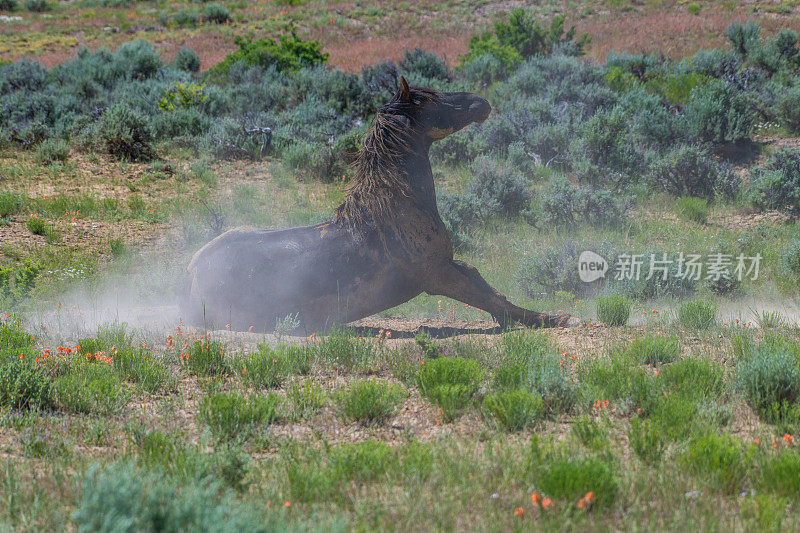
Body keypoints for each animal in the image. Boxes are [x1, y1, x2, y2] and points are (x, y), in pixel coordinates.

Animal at [184, 77, 580, 330]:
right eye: (430, 99)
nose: (481, 102)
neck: (400, 210)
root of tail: (190, 278)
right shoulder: (436, 276)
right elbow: (487, 299)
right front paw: (552, 320)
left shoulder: (451, 264)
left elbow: (491, 290)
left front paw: (544, 317)